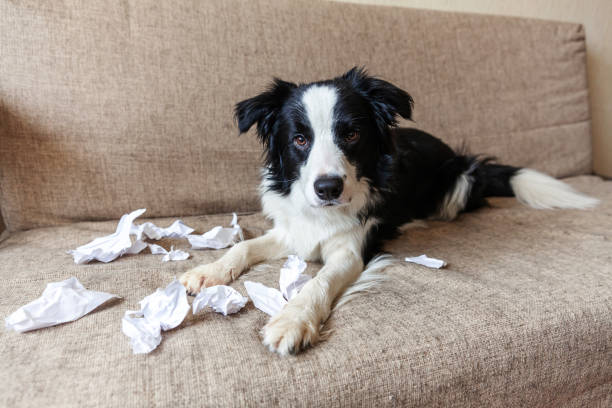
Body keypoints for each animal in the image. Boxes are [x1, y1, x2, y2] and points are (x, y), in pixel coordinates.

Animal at [179, 68, 600, 356]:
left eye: (351, 134)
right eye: (299, 139)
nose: (328, 189)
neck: (325, 213)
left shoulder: (353, 250)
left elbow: (319, 281)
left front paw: (291, 321)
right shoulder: (293, 228)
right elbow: (243, 247)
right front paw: (207, 272)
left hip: (458, 180)